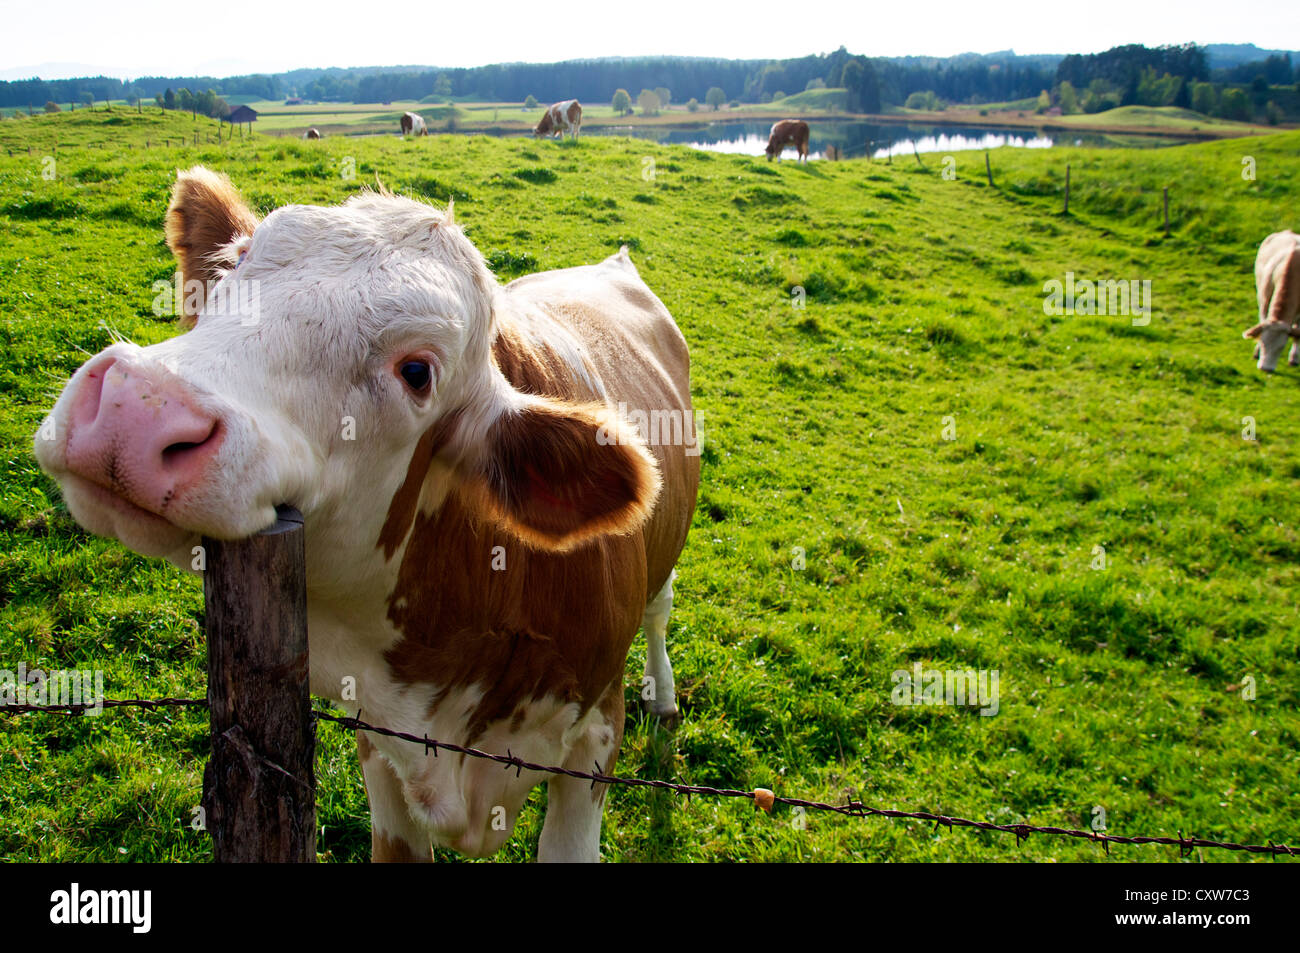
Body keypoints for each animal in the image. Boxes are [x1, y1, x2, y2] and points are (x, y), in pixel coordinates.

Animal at [32, 165, 702, 863]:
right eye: (236, 265)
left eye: (417, 372)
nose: (136, 406)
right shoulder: (380, 742)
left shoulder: (594, 739)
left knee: (660, 610)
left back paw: (664, 697)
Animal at [1237, 230, 1300, 371]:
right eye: (1262, 341)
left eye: (1282, 347)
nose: (1266, 368)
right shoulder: (1264, 299)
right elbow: (1262, 321)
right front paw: (1257, 352)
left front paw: (1294, 358)